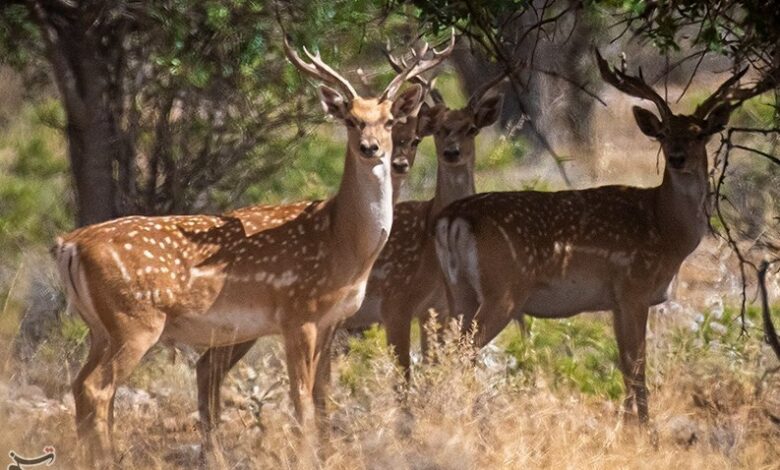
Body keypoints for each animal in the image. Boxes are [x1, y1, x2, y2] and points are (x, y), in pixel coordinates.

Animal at [53, 33, 458, 462]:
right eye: (350, 119)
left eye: (390, 121)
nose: (370, 148)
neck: (343, 245)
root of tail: (69, 244)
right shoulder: (298, 313)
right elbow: (300, 397)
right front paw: (306, 456)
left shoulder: (333, 320)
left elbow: (323, 394)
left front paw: (327, 454)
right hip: (135, 320)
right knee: (97, 389)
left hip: (101, 328)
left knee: (81, 386)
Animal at [436, 51, 772, 422]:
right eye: (664, 133)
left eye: (700, 134)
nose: (677, 158)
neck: (666, 230)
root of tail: (452, 219)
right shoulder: (634, 287)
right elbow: (637, 366)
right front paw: (645, 427)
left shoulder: (614, 301)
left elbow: (625, 366)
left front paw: (627, 423)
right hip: (503, 290)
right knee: (461, 350)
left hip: (457, 291)